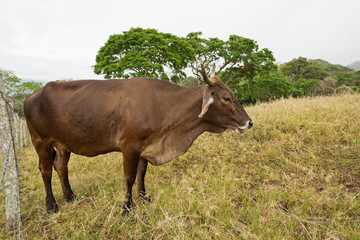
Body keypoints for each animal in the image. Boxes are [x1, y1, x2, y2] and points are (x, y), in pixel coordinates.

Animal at [23, 64, 253, 216]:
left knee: (61, 167)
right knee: (45, 171)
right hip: (41, 142)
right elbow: (130, 177)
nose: (249, 122)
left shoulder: (146, 146)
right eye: (226, 98)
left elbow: (142, 174)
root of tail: (32, 95)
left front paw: (143, 197)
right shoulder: (130, 147)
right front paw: (126, 207)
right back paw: (51, 206)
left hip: (63, 144)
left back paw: (70, 196)